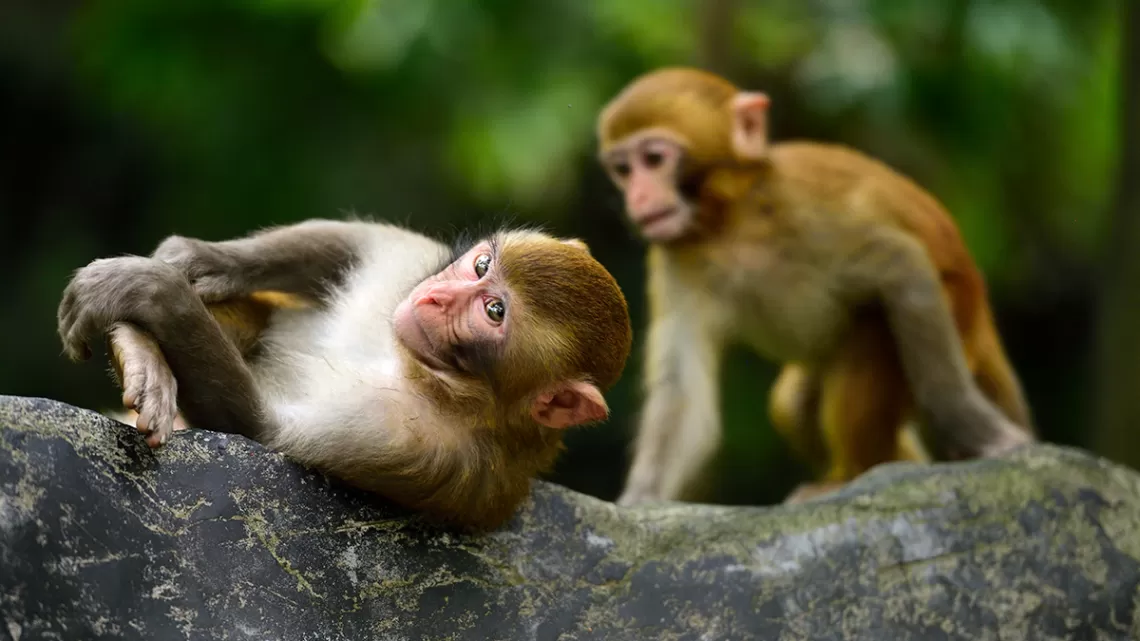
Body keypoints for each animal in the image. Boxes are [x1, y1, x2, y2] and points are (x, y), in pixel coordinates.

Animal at [55, 218, 633, 529]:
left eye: (494, 311)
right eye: (480, 266)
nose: (436, 298)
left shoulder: (417, 442)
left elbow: (266, 430)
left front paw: (151, 291)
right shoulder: (410, 280)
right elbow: (361, 242)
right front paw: (199, 258)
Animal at [601, 66, 1039, 504]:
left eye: (653, 159)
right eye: (624, 170)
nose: (638, 196)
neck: (729, 223)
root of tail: (979, 304)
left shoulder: (809, 217)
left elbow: (904, 266)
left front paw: (974, 427)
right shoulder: (674, 259)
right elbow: (681, 388)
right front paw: (641, 499)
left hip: (956, 314)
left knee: (875, 331)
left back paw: (855, 475)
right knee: (792, 406)